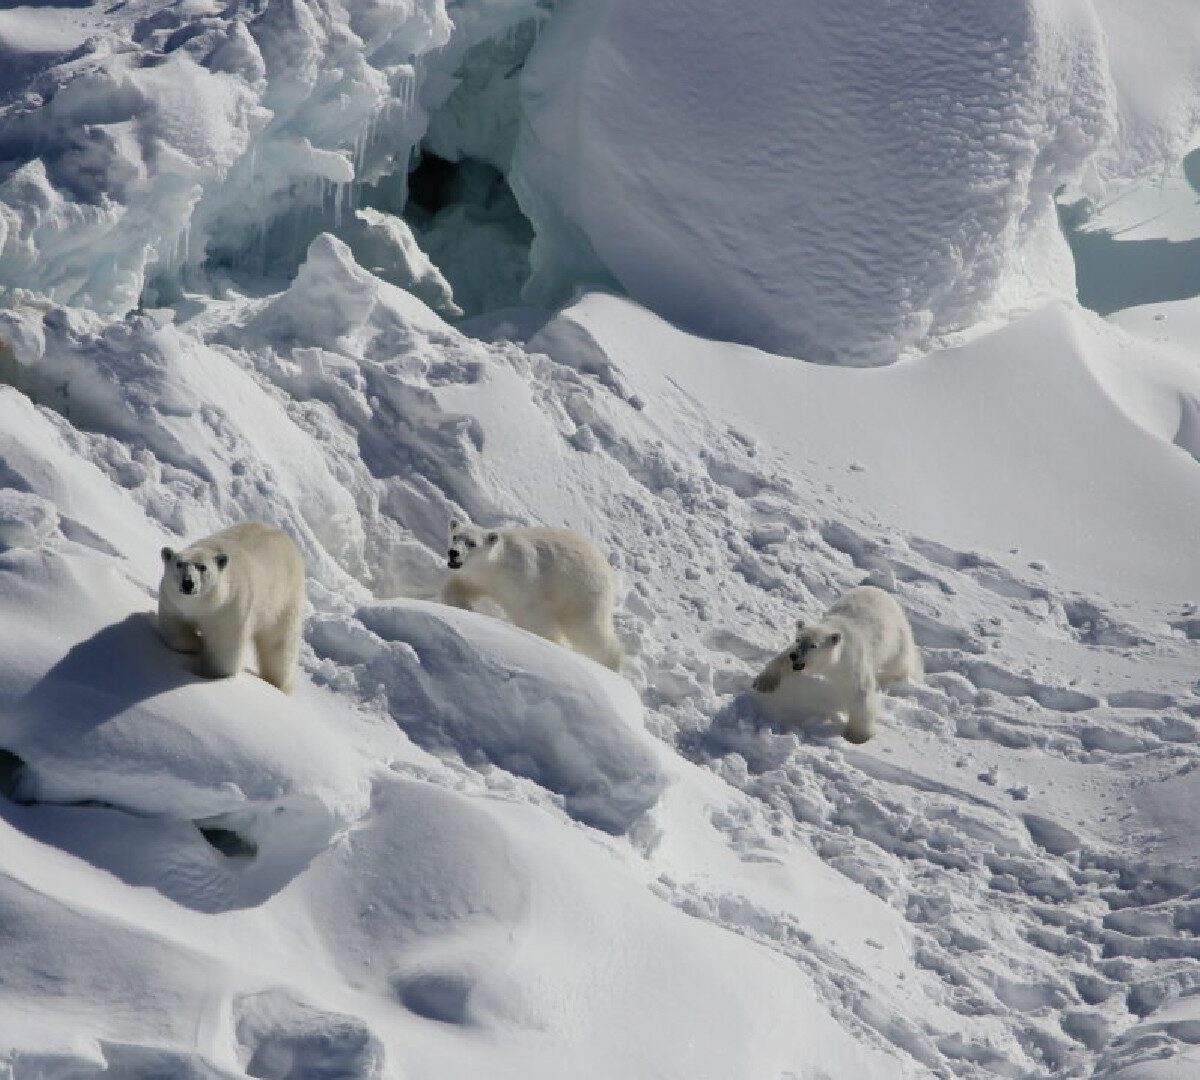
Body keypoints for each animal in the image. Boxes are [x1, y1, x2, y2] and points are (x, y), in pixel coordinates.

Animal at [157, 520, 307, 691]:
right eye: (179, 564)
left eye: (202, 567)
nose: (188, 583)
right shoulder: (173, 603)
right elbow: (174, 630)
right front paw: (195, 643)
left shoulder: (229, 608)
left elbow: (224, 648)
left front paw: (212, 674)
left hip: (284, 600)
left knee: (279, 645)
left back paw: (278, 683)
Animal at [446, 518, 624, 672]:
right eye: (455, 536)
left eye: (472, 543)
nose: (453, 552)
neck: (496, 566)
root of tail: (607, 567)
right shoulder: (477, 578)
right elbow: (456, 587)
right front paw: (464, 607)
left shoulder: (521, 578)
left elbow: (532, 615)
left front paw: (550, 641)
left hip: (581, 590)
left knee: (587, 629)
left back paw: (611, 664)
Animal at [753, 583, 921, 744]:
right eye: (798, 639)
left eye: (813, 645)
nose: (795, 656)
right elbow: (781, 659)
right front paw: (763, 683)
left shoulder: (852, 661)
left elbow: (861, 692)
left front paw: (856, 737)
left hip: (896, 640)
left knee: (899, 665)